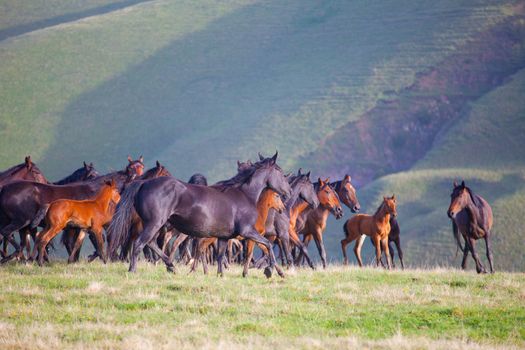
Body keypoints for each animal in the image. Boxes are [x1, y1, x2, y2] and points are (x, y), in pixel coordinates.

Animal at [108, 153, 292, 278]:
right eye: (280, 172)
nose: (289, 192)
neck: (244, 195)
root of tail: (143, 183)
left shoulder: (224, 237)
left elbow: (220, 256)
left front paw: (220, 275)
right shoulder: (248, 232)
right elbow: (268, 245)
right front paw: (273, 271)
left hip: (156, 225)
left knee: (151, 243)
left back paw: (171, 266)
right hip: (155, 223)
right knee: (140, 243)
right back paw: (133, 270)